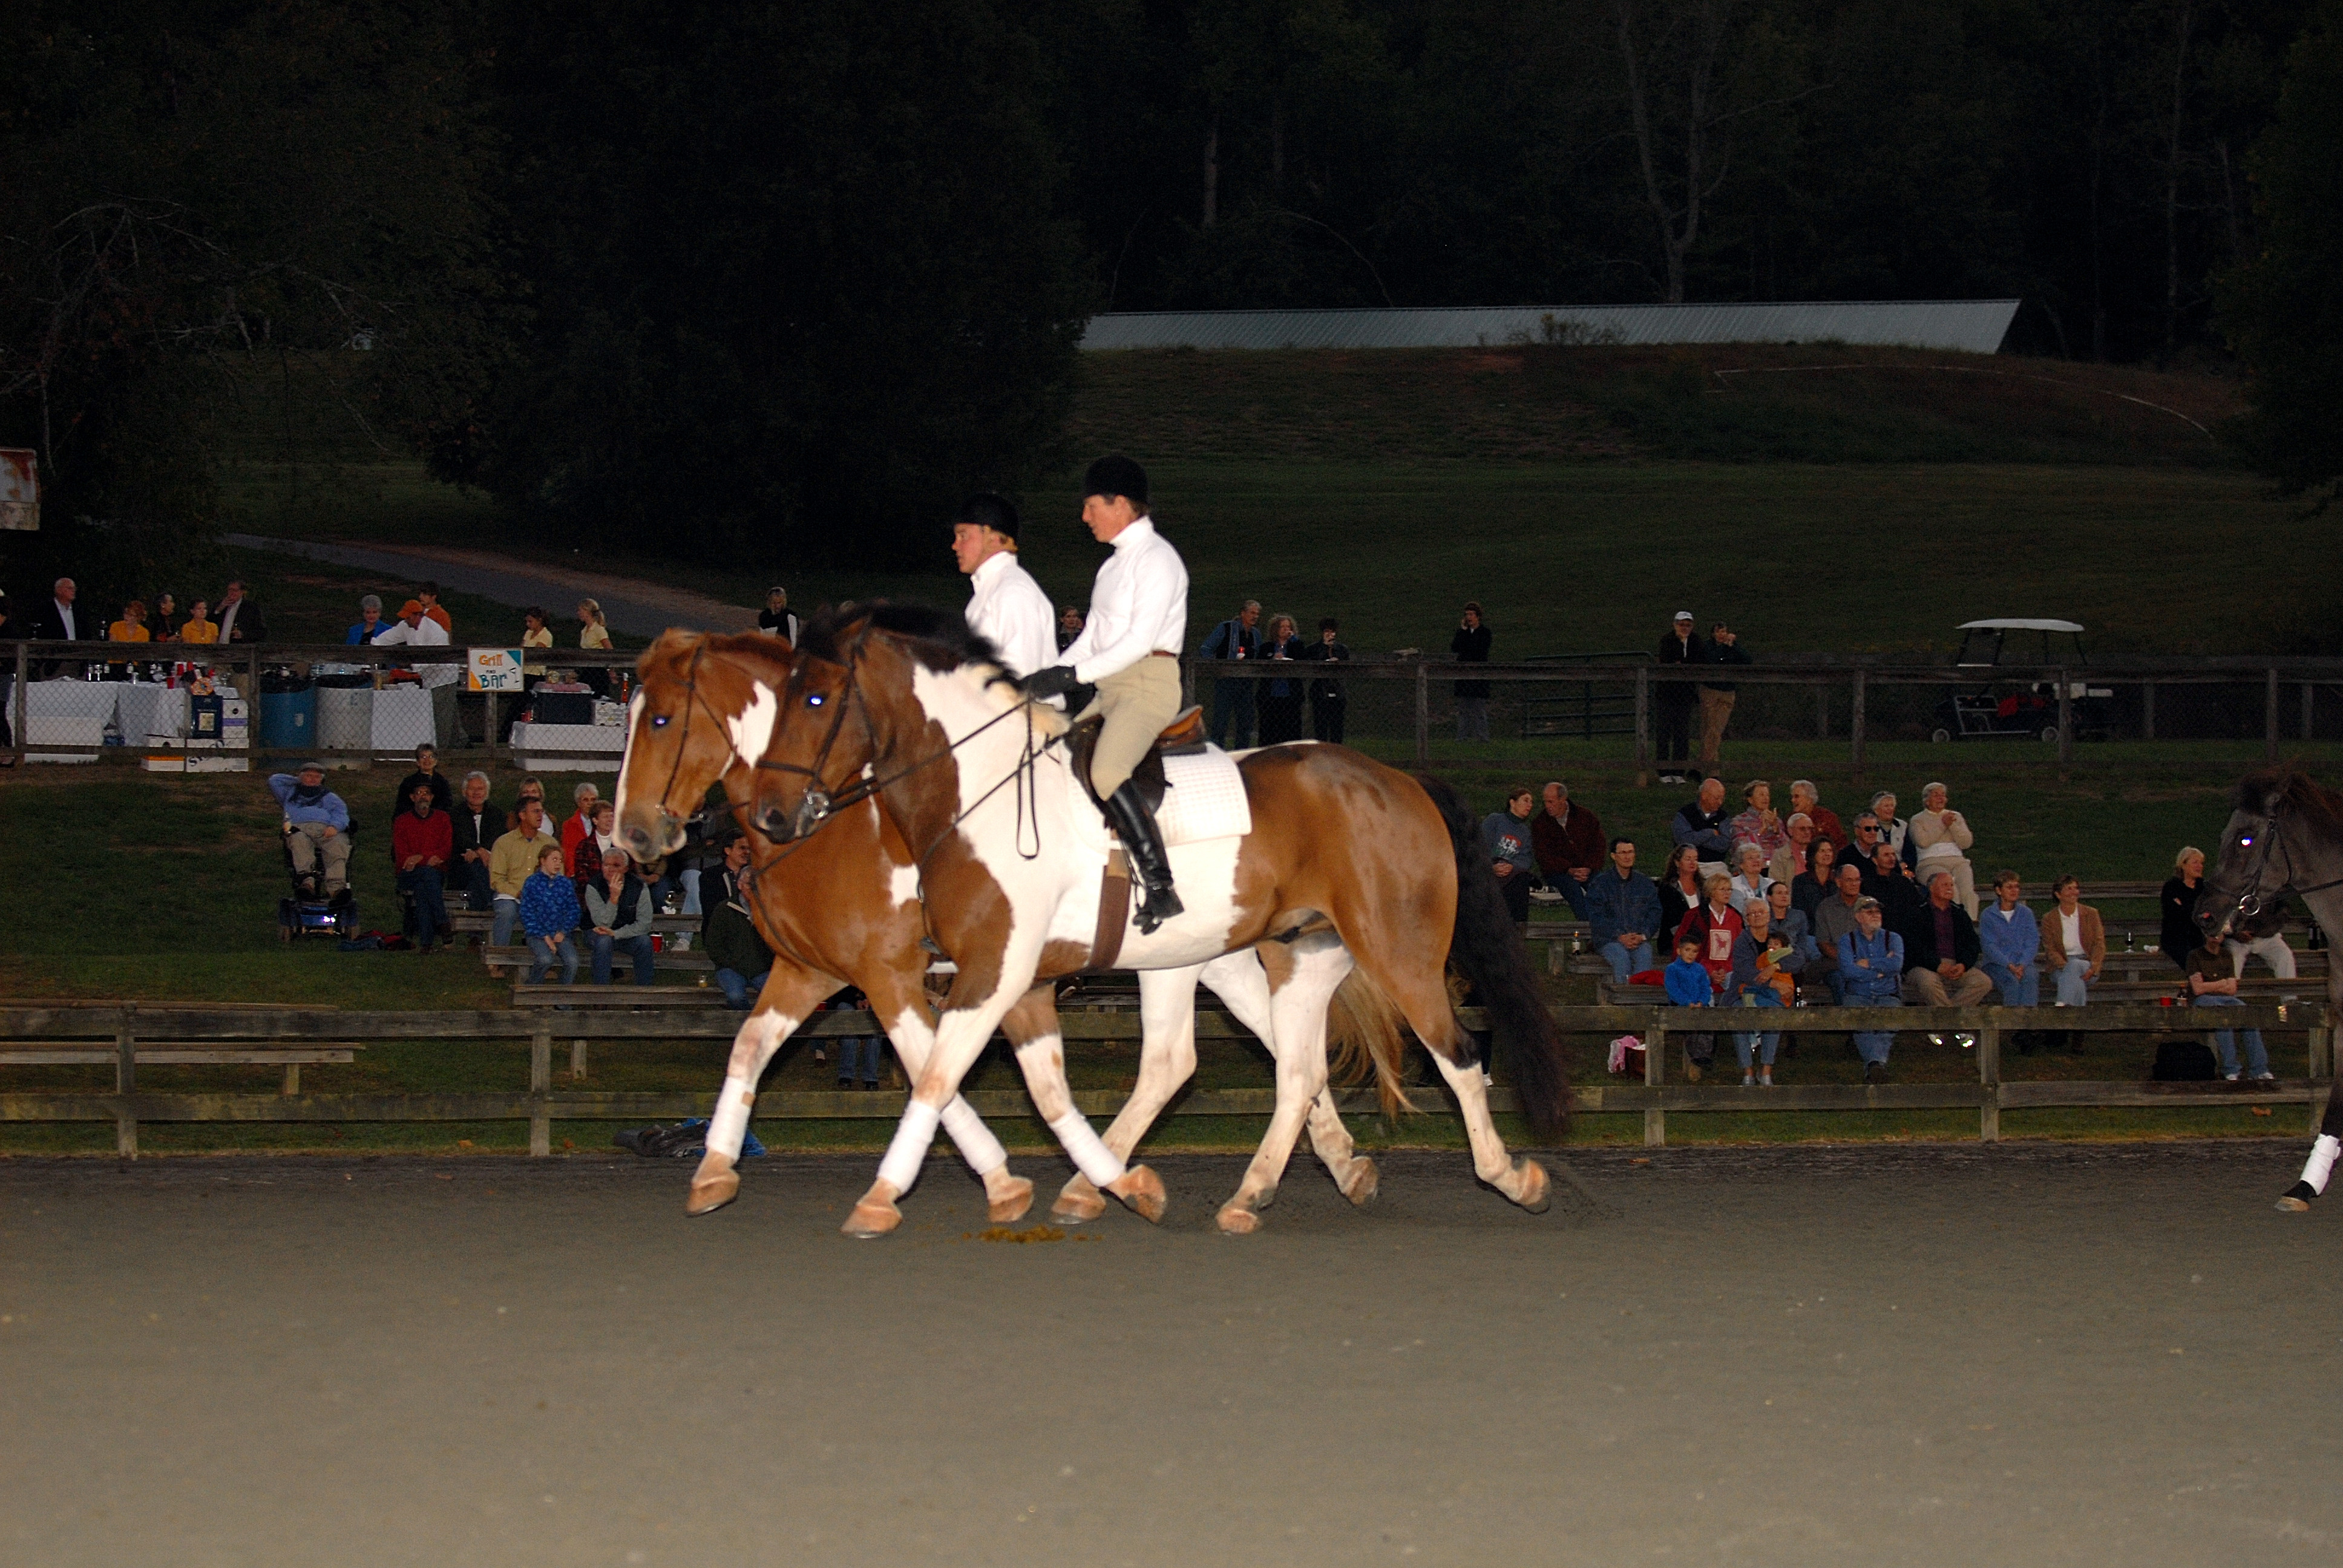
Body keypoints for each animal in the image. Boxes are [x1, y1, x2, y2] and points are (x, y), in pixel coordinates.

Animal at [612, 631, 1410, 1231]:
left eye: (659, 720)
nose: (634, 835)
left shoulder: (892, 975)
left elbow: (932, 1070)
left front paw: (995, 1181)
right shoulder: (809, 971)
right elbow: (749, 1048)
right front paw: (714, 1169)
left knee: (1230, 1056)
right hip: (1209, 955)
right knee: (1277, 1047)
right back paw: (1336, 1164)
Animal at [741, 602, 1570, 1237]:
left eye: (815, 700)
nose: (772, 817)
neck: (975, 791)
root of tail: (1399, 780)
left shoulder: (991, 969)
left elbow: (939, 1075)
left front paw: (881, 1197)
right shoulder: (1000, 976)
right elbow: (999, 1081)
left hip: (1398, 952)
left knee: (1456, 1054)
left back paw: (1508, 1176)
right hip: (1296, 955)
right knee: (1290, 1069)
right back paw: (1247, 1194)